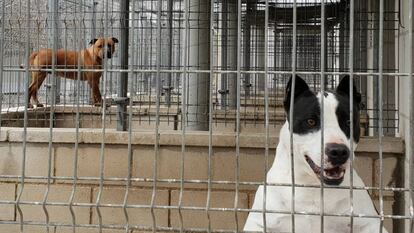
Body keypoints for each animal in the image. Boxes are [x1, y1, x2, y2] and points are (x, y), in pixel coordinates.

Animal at [243, 75, 388, 232]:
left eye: (349, 122)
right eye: (311, 121)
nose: (339, 151)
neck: (311, 185)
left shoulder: (371, 224)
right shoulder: (258, 222)